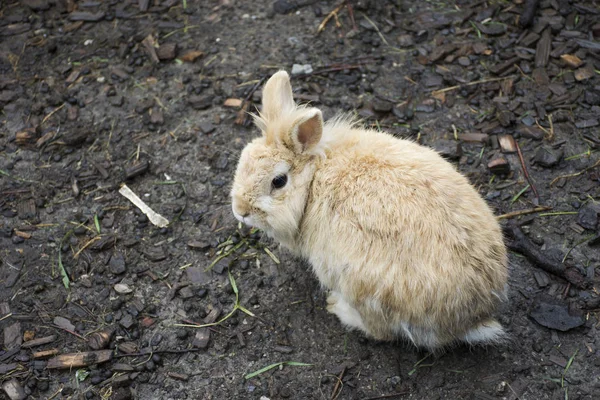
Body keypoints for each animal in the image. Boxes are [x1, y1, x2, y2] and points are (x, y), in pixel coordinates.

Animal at [230, 71, 506, 350]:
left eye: (278, 181)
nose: (240, 211)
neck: (313, 179)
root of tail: (471, 319)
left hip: (361, 289)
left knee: (381, 332)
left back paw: (338, 308)